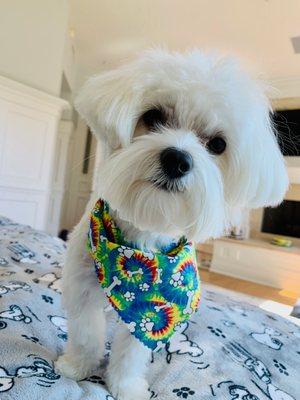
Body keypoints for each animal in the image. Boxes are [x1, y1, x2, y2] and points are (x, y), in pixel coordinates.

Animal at [56, 50, 288, 400]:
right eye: (153, 116)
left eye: (217, 144)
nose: (177, 160)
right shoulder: (82, 283)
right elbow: (86, 333)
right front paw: (77, 367)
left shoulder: (151, 311)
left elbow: (133, 349)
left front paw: (125, 387)